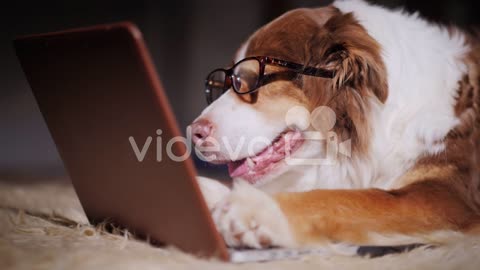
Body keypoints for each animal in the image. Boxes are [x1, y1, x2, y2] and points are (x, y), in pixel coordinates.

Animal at [188, 0, 480, 249]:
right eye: (222, 84)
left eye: (247, 81)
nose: (194, 132)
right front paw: (208, 193)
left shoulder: (448, 196)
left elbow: (344, 198)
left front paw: (256, 209)